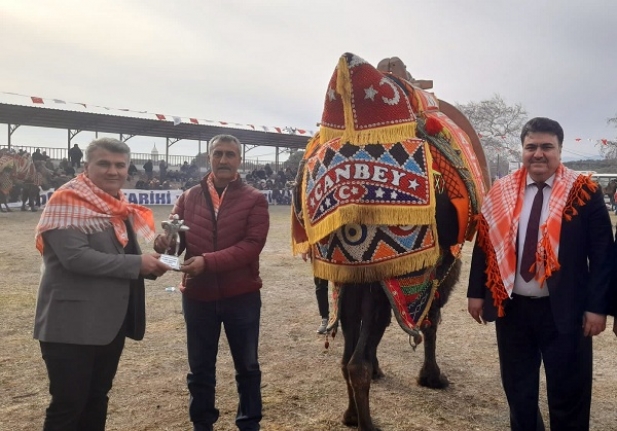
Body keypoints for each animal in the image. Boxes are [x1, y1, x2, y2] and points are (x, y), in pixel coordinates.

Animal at [292, 54, 488, 431]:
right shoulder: (439, 267)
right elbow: (431, 319)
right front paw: (432, 377)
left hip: (350, 269)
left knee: (348, 358)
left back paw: (352, 415)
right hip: (380, 267)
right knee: (358, 360)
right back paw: (367, 421)